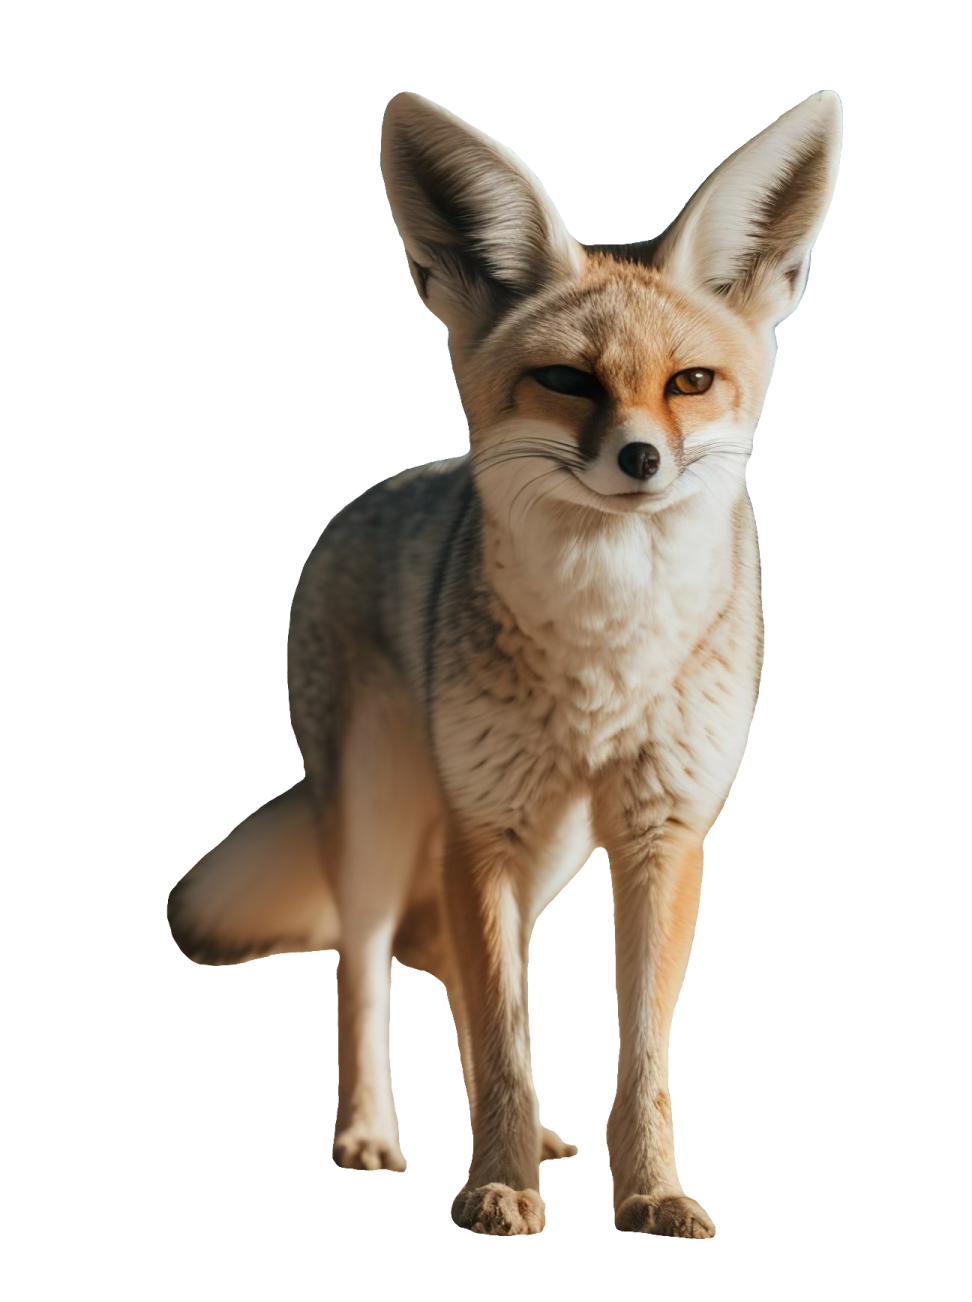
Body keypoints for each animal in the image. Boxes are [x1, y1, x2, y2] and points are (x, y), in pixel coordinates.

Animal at [167, 90, 841, 1237]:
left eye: (691, 384)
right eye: (566, 381)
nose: (641, 461)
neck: (607, 650)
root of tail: (373, 491)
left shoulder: (661, 831)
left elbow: (639, 1055)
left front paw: (651, 1193)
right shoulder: (484, 827)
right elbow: (502, 1036)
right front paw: (496, 1185)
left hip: (549, 852)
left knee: (454, 971)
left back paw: (544, 1140)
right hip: (396, 821)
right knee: (371, 966)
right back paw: (374, 1136)